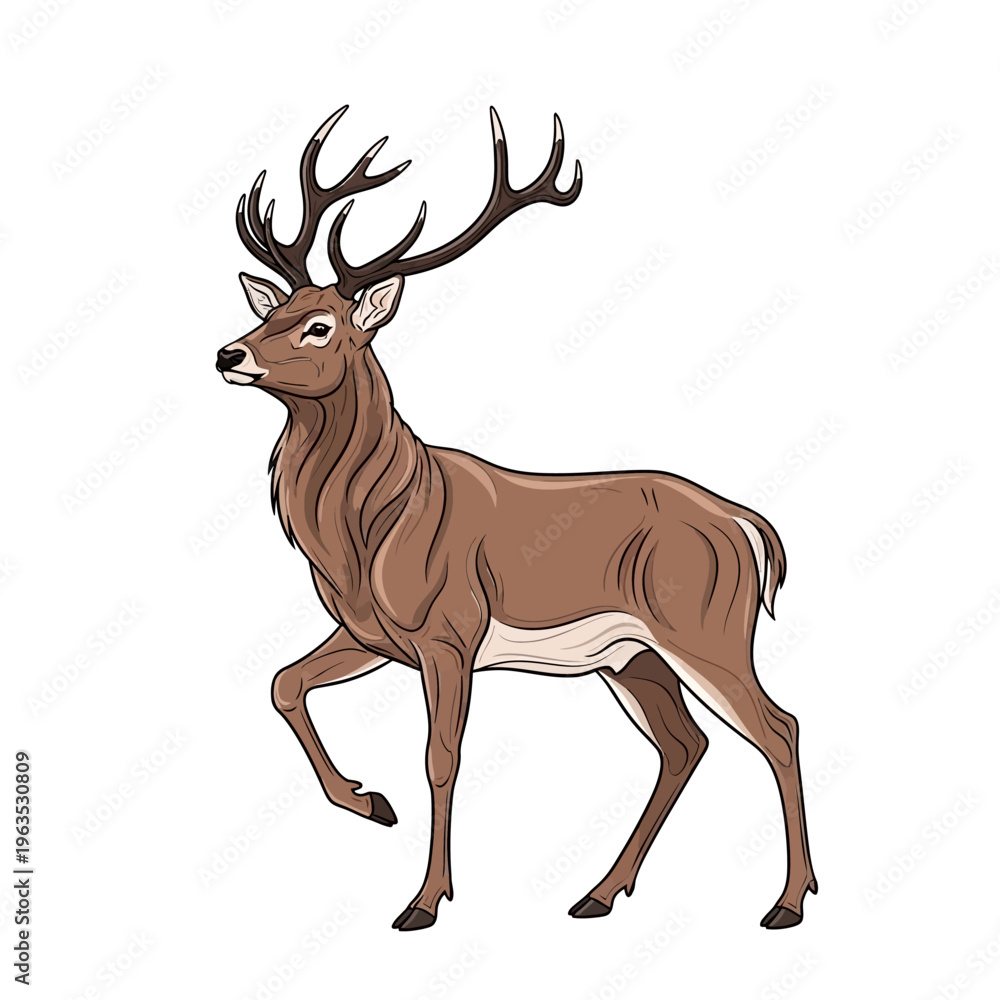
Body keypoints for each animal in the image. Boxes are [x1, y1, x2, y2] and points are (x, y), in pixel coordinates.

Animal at [216, 105, 817, 932]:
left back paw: (787, 903)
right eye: (273, 308)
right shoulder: (371, 634)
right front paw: (371, 803)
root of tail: (745, 523)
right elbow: (283, 684)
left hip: (707, 629)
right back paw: (598, 893)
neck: (376, 525)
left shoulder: (450, 631)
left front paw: (425, 901)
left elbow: (441, 758)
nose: (228, 354)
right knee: (685, 744)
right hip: (631, 656)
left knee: (778, 727)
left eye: (321, 326)